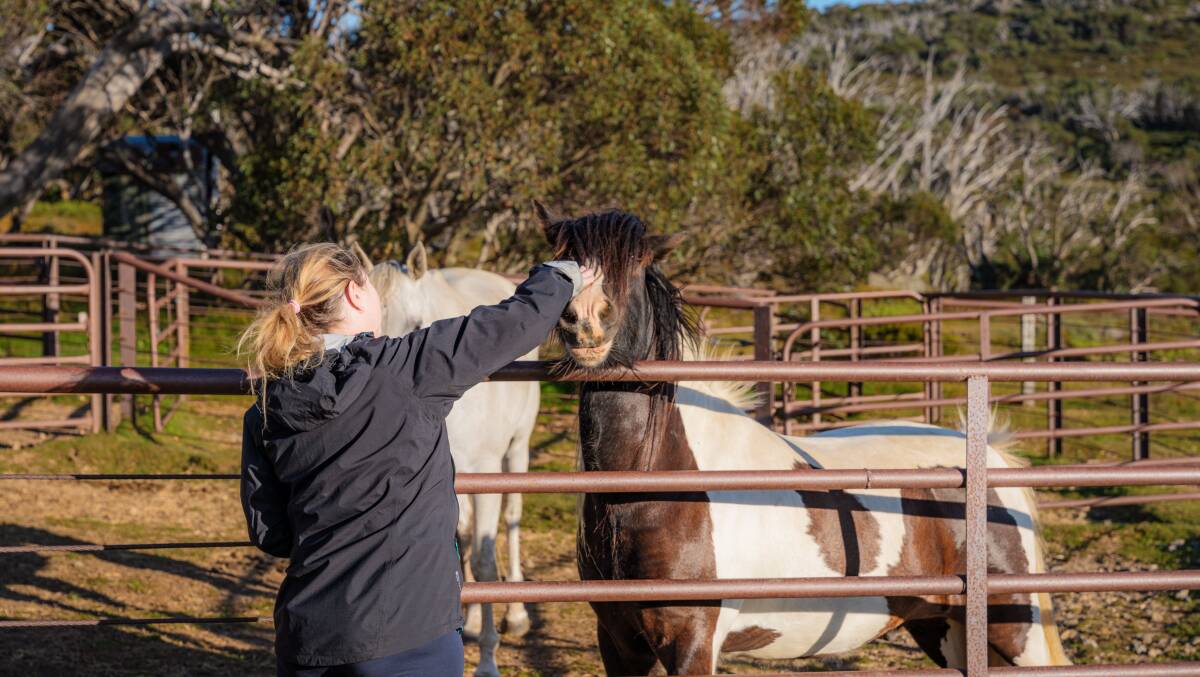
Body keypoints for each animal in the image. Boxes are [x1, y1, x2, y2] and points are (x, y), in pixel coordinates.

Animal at [536, 204, 1073, 675]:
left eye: (635, 265)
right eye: (565, 262)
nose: (586, 322)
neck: (661, 481)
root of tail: (991, 454)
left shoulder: (691, 641)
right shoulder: (620, 643)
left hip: (1013, 631)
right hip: (945, 626)